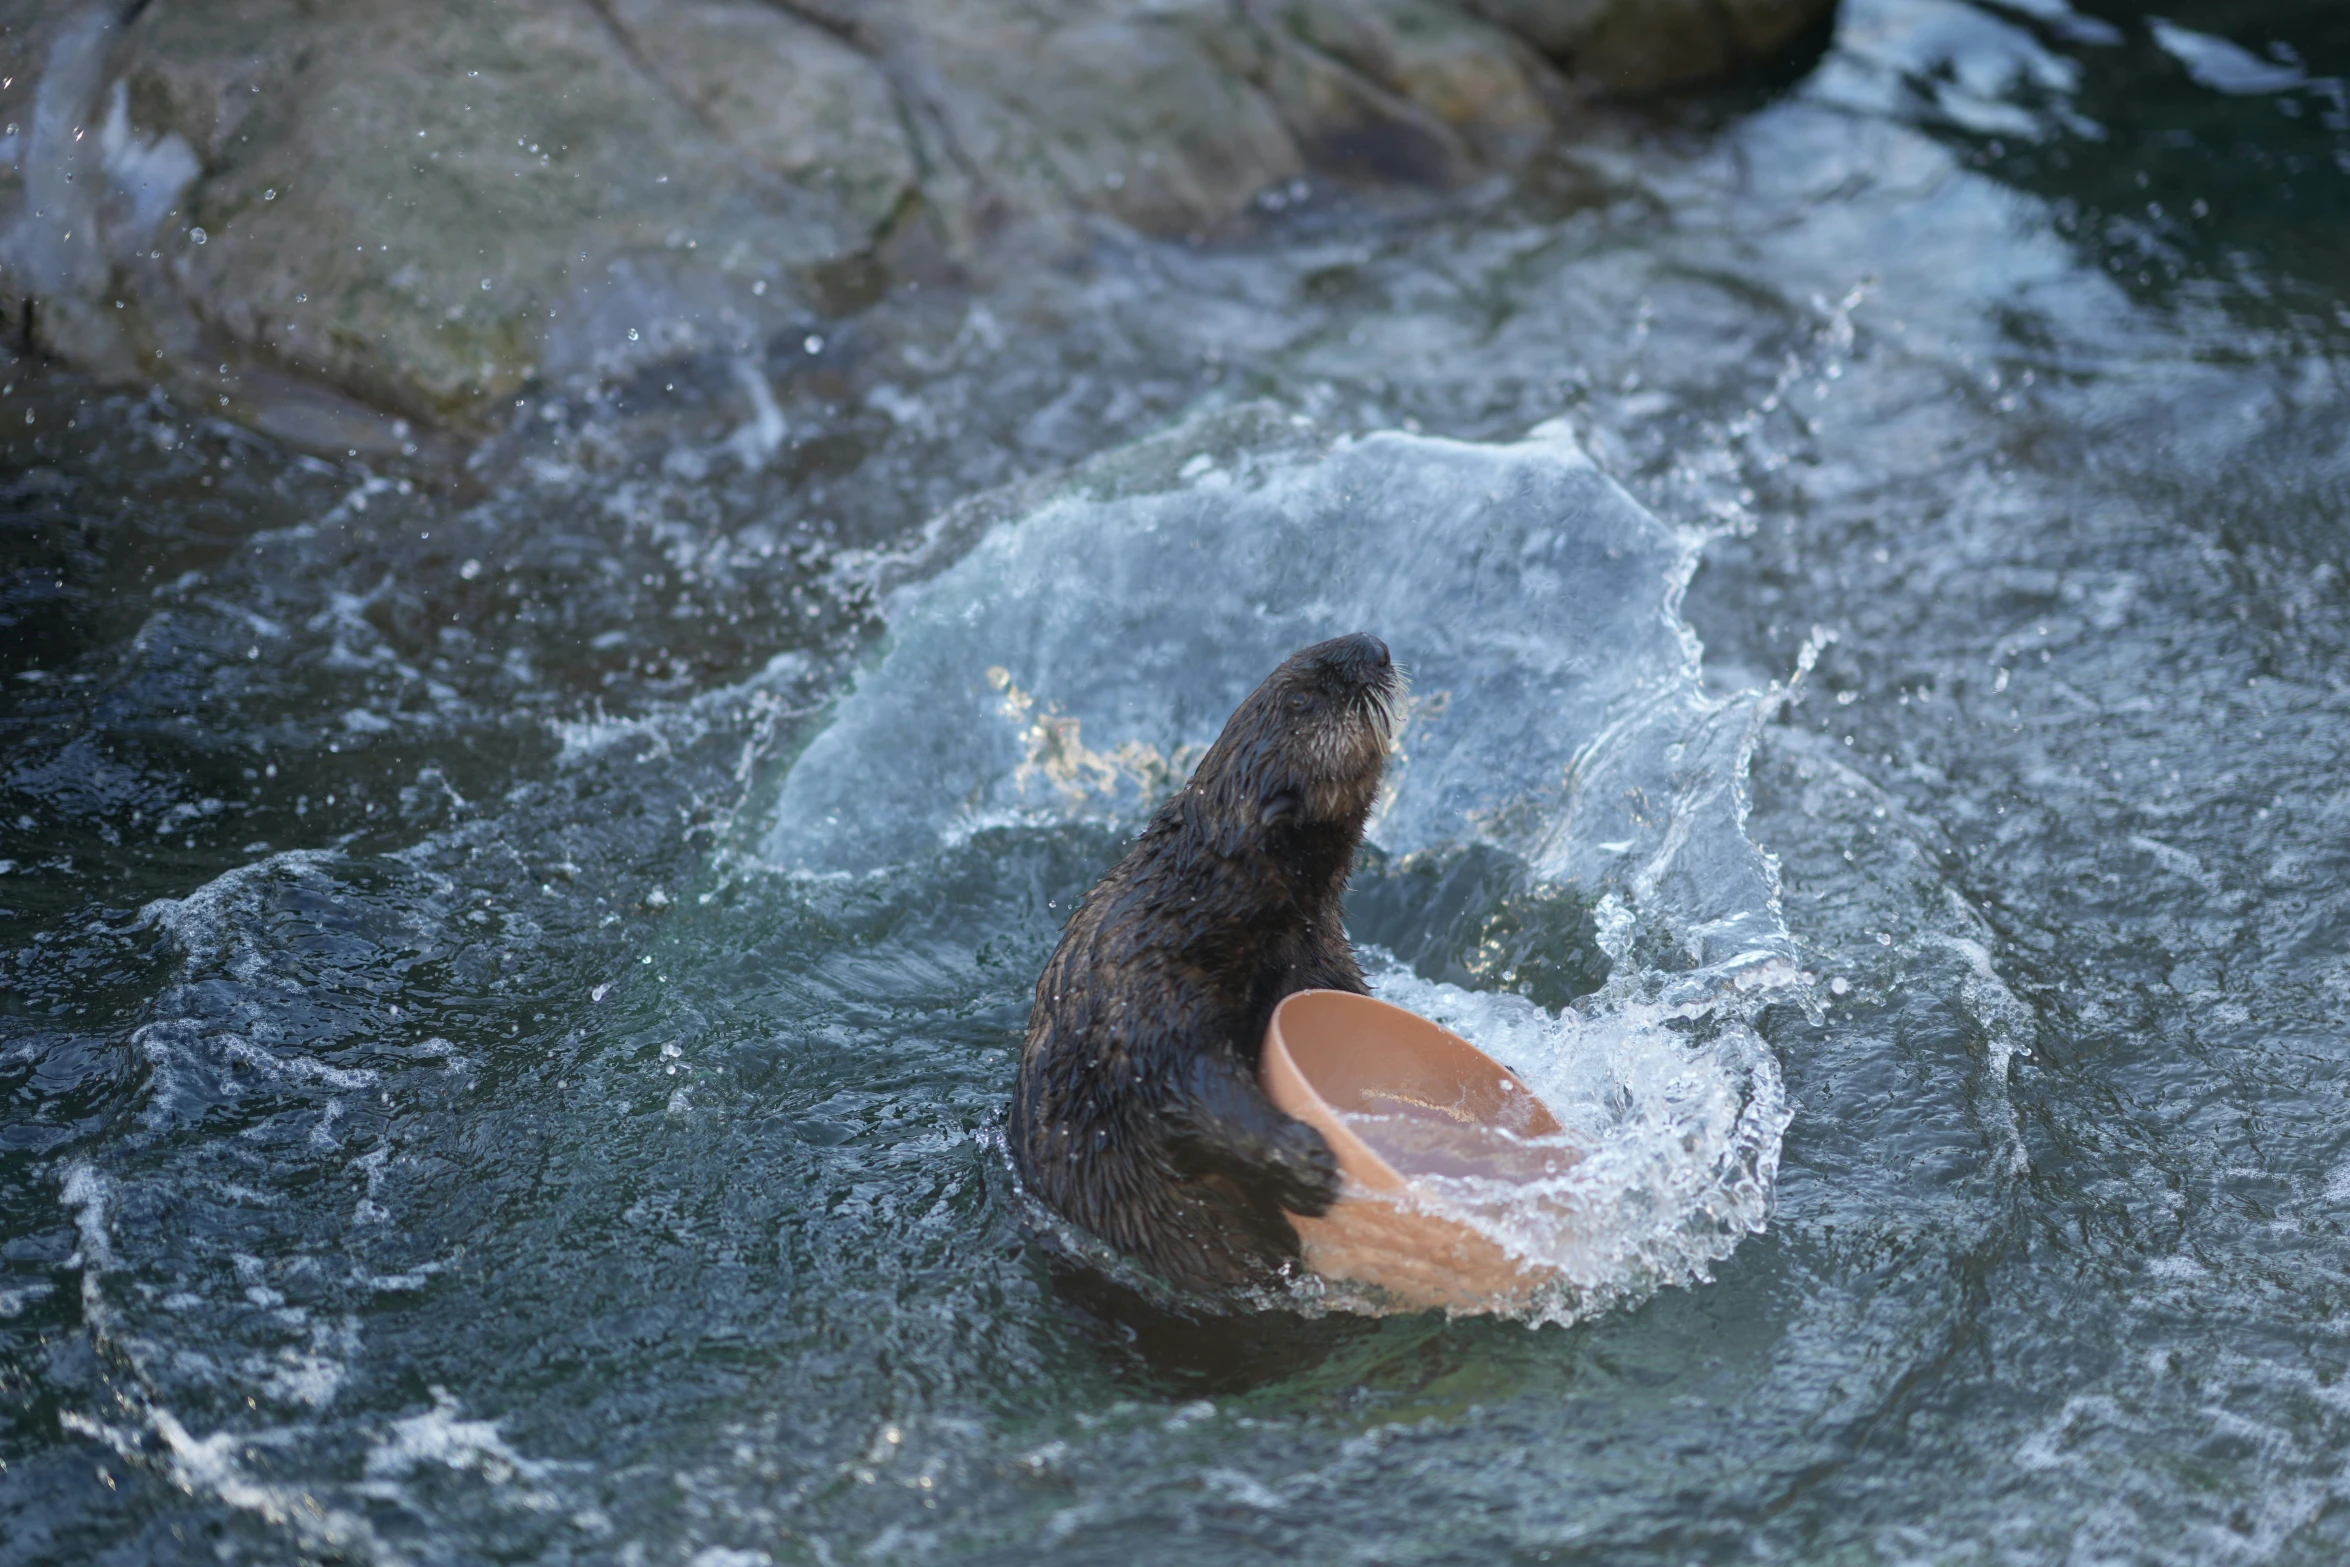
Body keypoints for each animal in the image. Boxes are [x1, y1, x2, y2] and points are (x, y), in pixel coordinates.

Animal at [1005, 629, 1400, 1296]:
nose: (1375, 646)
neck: (1204, 902)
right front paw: (1308, 1158)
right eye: (1304, 697)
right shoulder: (1146, 978)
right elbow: (1186, 1086)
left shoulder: (1322, 959)